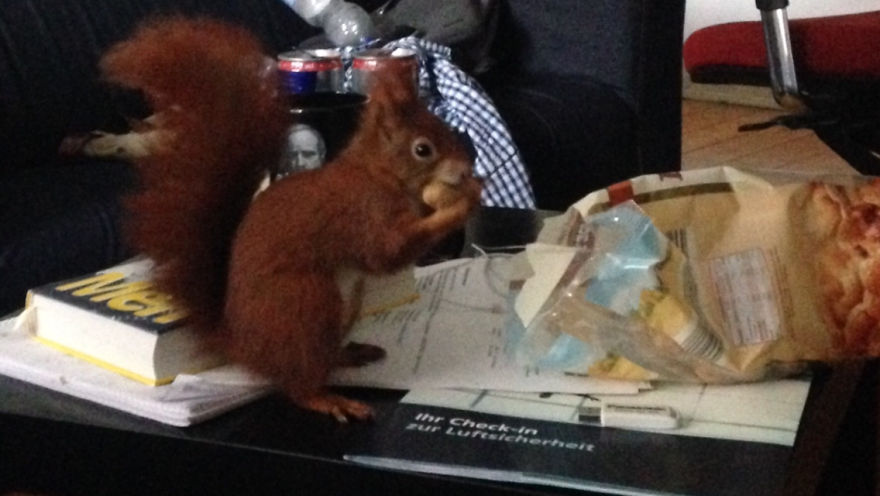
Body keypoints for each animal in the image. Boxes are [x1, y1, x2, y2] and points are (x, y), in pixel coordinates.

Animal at [100, 17, 482, 421]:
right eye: (423, 149)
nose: (467, 166)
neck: (378, 174)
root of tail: (242, 346)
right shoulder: (363, 213)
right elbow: (387, 253)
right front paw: (462, 204)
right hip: (306, 303)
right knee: (297, 382)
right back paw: (327, 398)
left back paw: (349, 353)